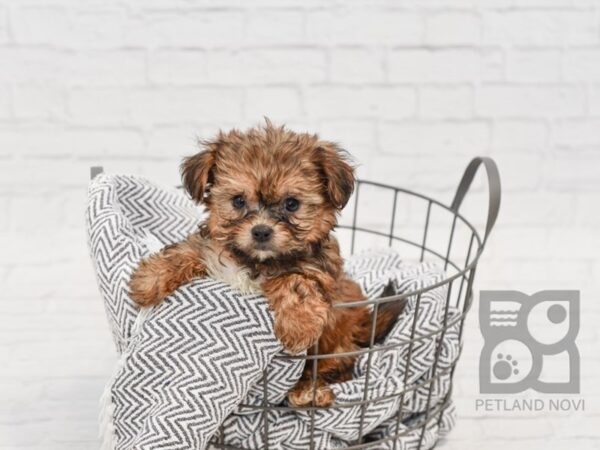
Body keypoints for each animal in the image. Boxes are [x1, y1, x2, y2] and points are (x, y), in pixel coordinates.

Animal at [131, 123, 404, 408]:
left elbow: (295, 282)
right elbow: (187, 249)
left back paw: (309, 392)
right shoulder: (214, 257)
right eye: (238, 201)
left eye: (291, 204)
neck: (258, 262)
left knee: (336, 369)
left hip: (338, 346)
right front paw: (149, 280)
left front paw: (298, 326)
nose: (261, 231)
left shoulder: (317, 273)